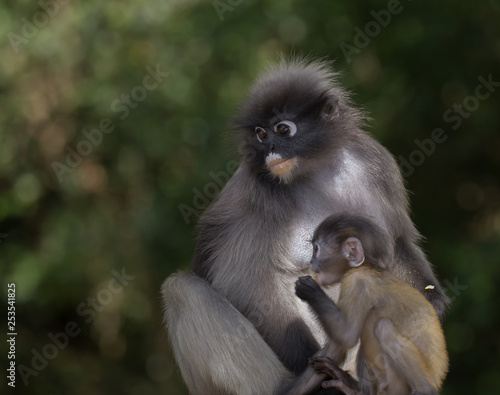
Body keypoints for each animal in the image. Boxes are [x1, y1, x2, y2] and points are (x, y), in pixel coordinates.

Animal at [294, 215, 448, 394]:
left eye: (316, 249)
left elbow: (346, 334)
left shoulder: (356, 281)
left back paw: (423, 389)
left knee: (383, 327)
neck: (367, 267)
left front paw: (309, 290)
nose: (311, 261)